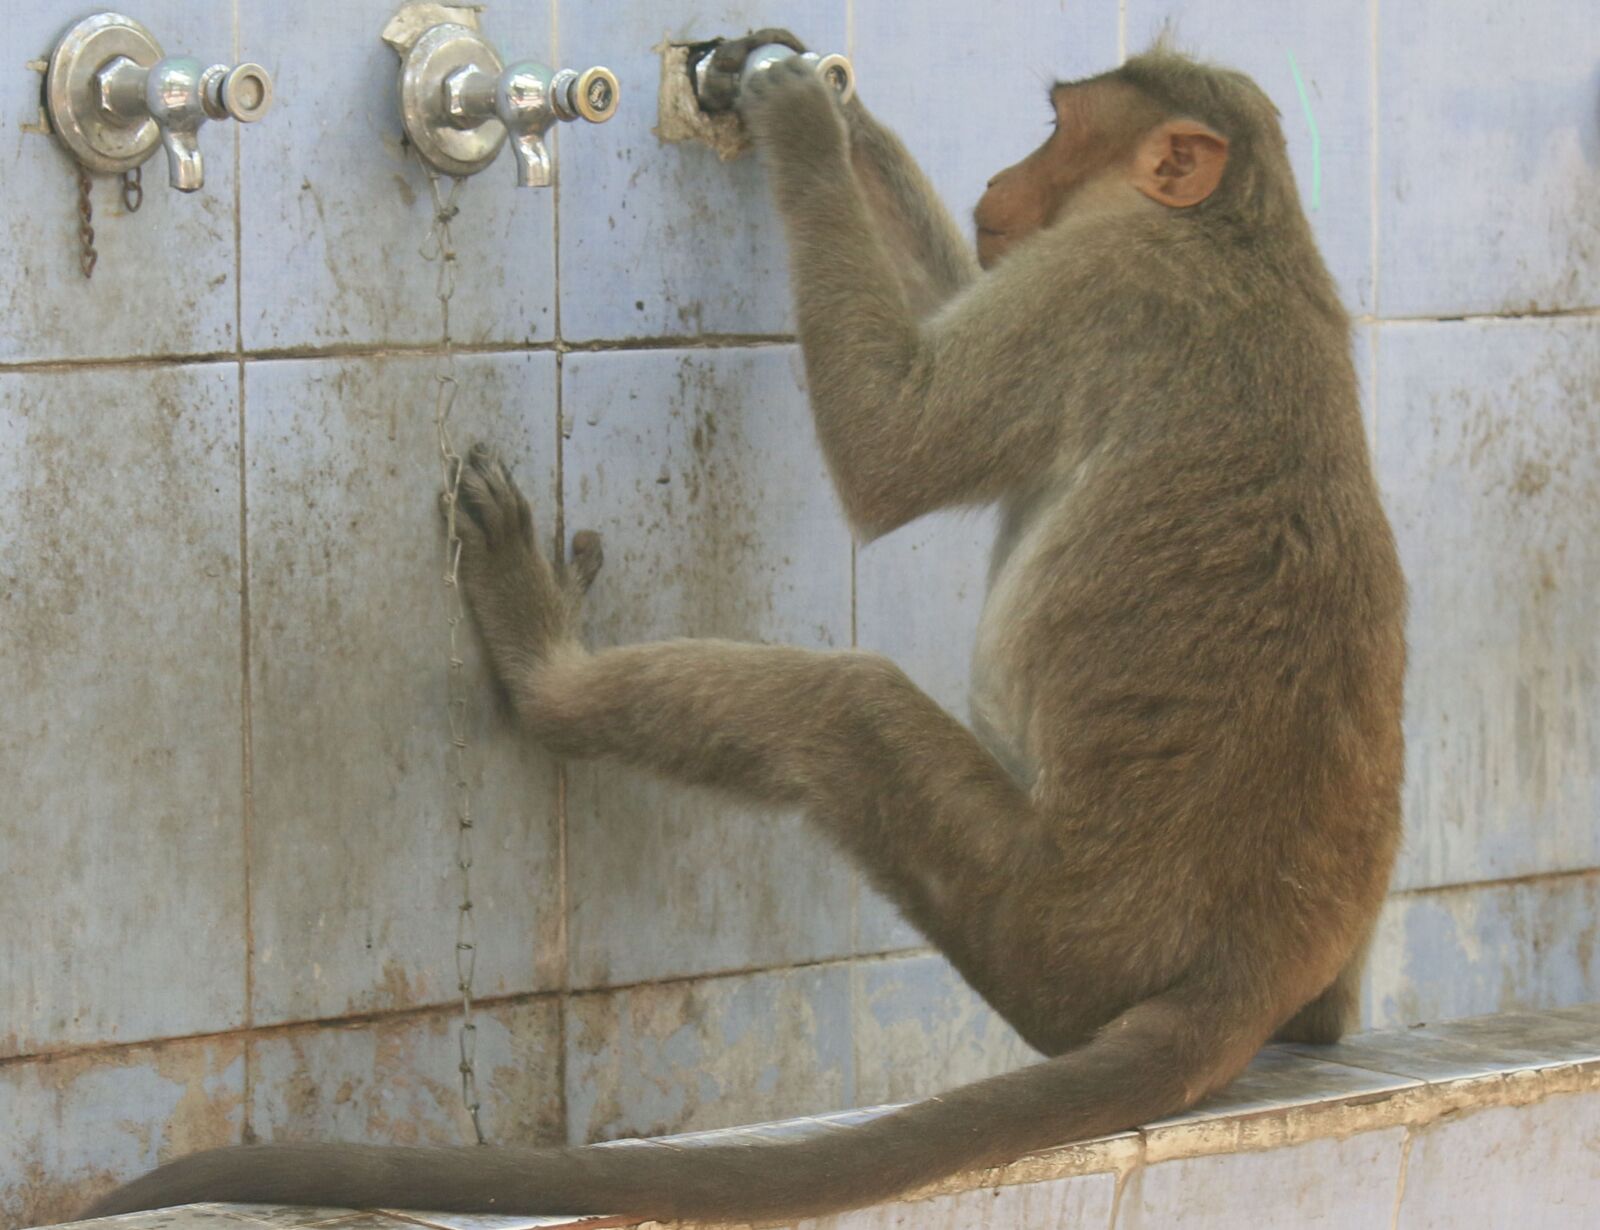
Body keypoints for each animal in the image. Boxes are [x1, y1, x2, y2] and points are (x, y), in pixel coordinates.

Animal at [93, 33, 1408, 1222]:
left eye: (1056, 129)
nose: (1000, 184)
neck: (1246, 232)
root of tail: (1241, 971)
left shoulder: (1104, 283)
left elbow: (894, 447)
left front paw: (799, 124)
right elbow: (941, 314)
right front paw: (828, 98)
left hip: (1045, 924)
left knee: (848, 708)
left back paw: (549, 674)